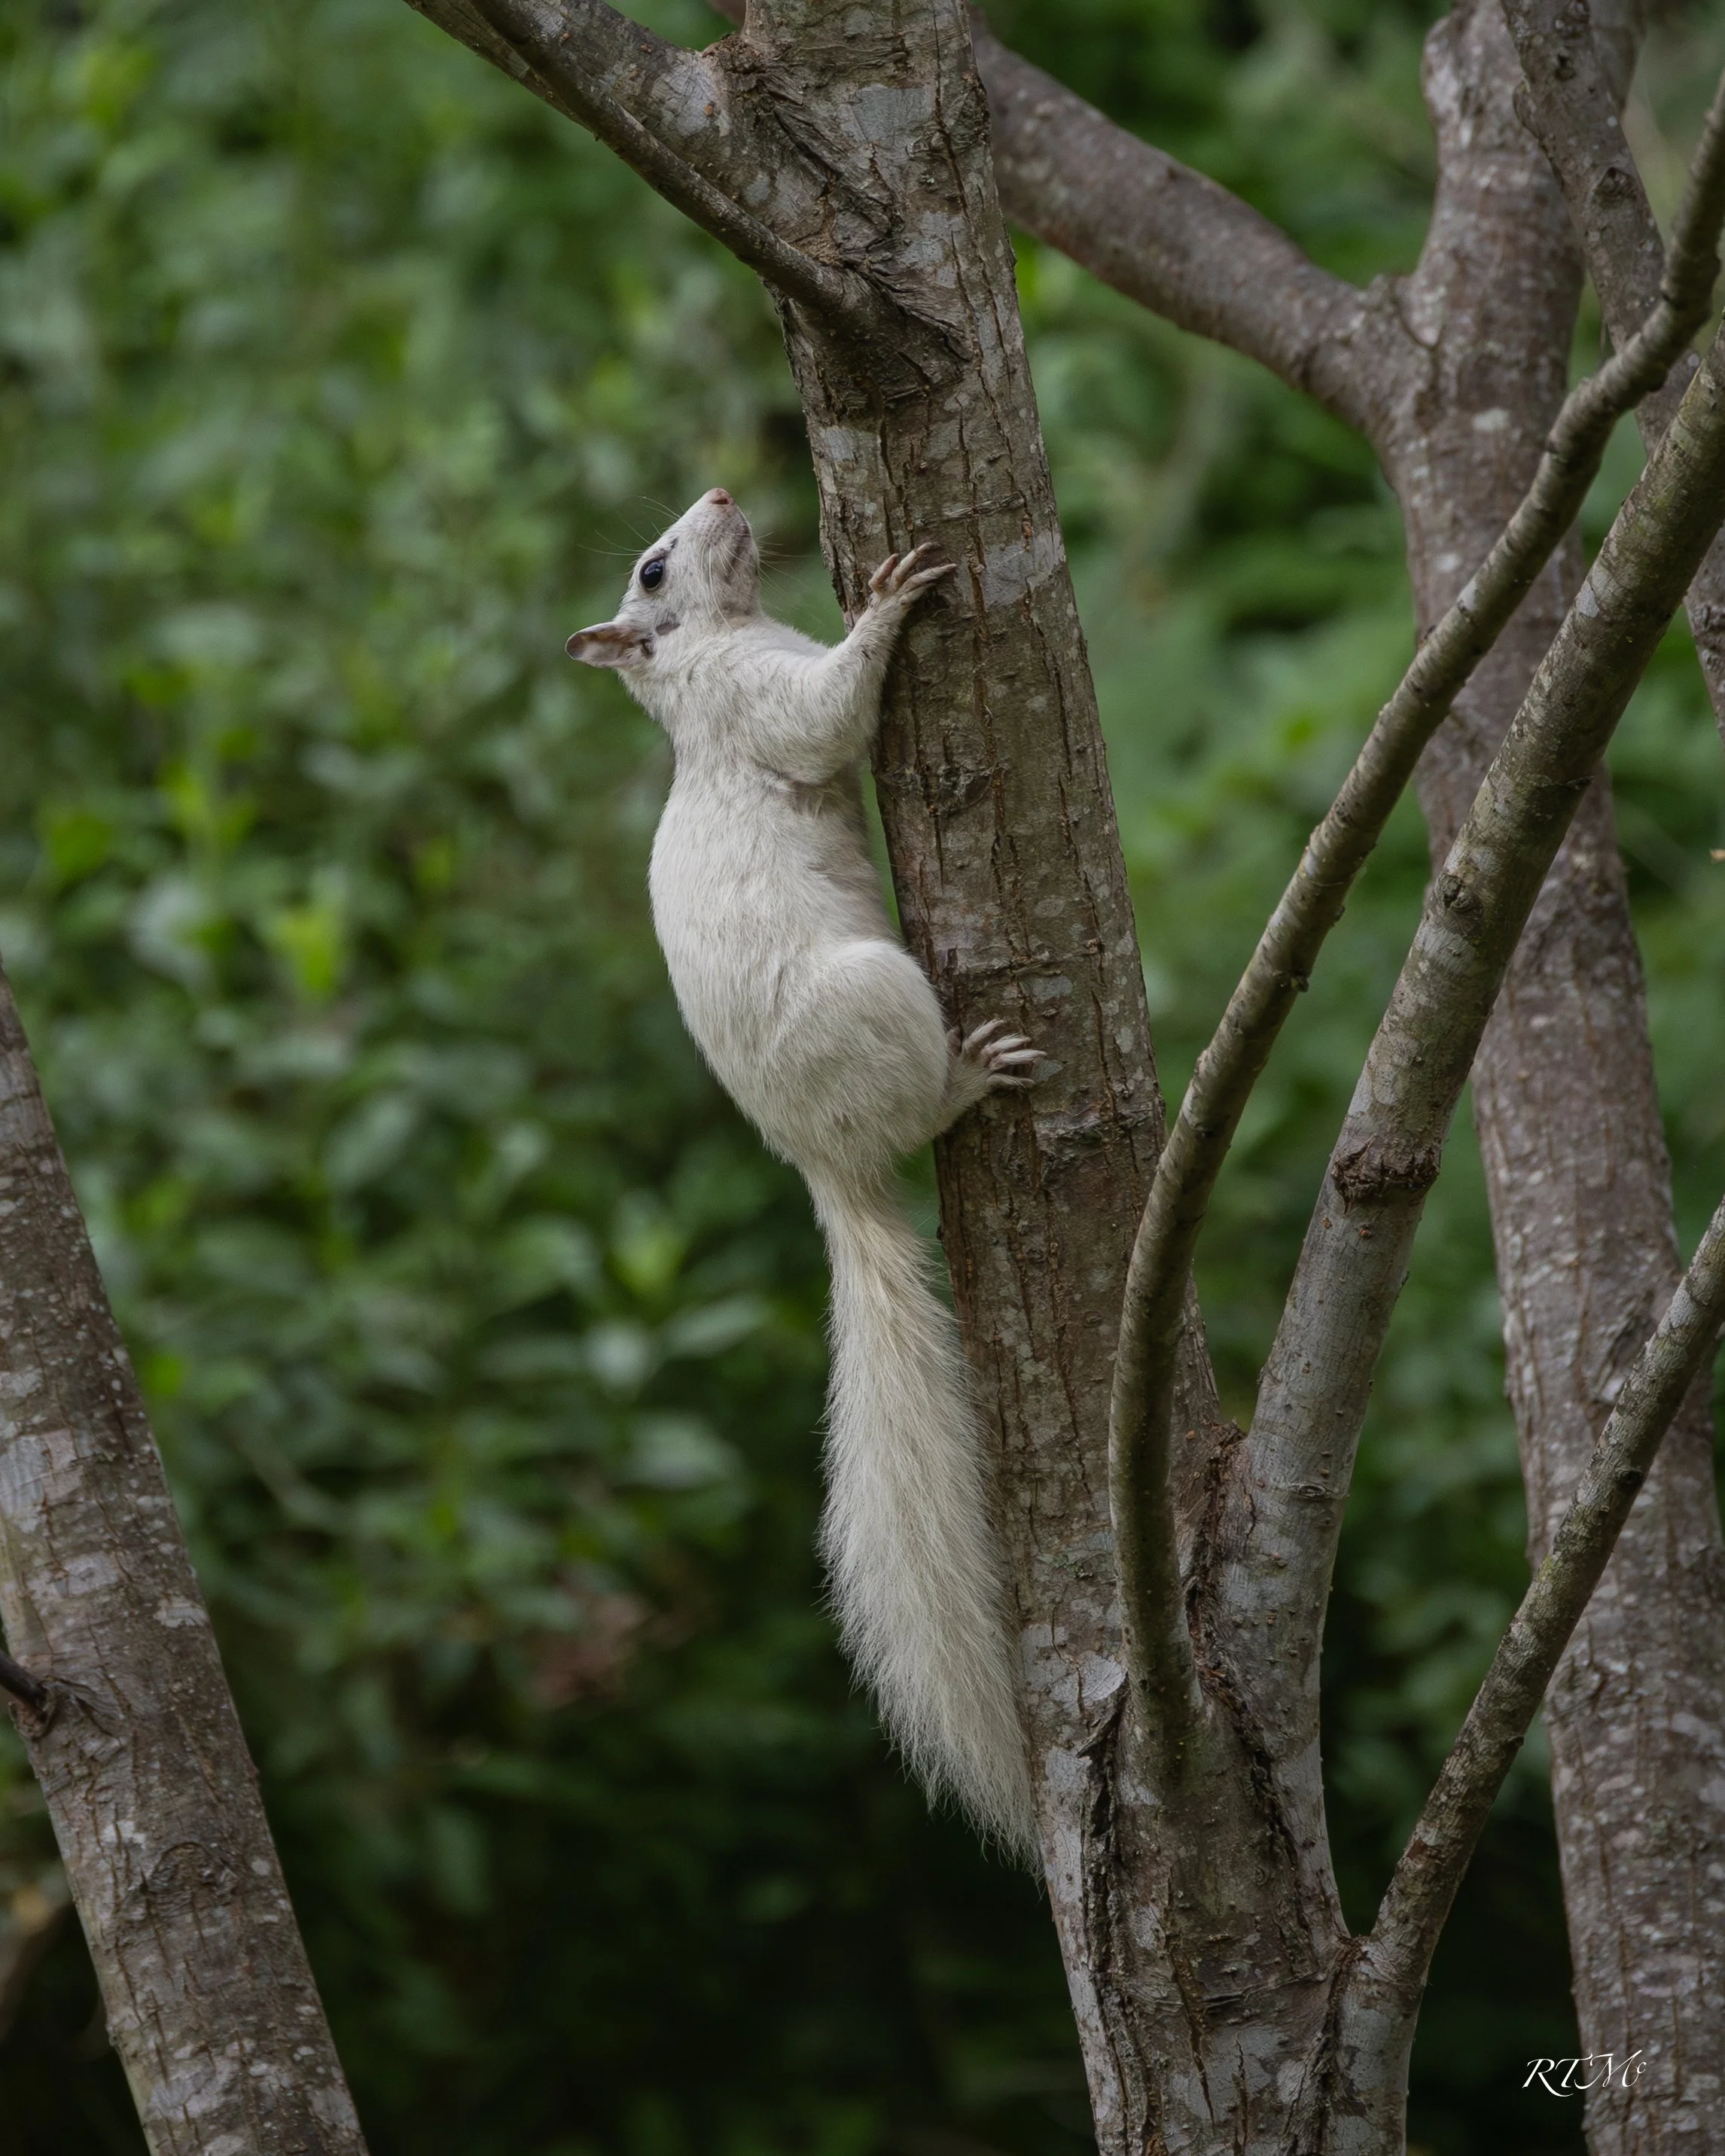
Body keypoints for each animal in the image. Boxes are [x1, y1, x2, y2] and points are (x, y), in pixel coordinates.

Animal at [568, 487, 1039, 1857]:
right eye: (652, 567)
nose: (726, 495)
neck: (716, 643)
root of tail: (828, 1167)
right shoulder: (754, 700)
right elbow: (829, 714)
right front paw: (882, 605)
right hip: (880, 999)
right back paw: (963, 1085)